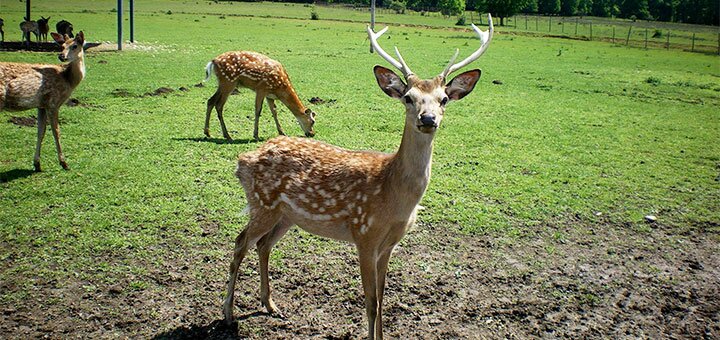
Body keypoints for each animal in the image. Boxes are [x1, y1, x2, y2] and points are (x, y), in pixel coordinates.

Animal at [0, 31, 86, 173]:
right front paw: (64, 163)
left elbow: (41, 132)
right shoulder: (53, 102)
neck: (68, 80)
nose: (61, 56)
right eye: (62, 46)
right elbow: (56, 131)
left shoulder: (41, 105)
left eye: (74, 46)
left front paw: (37, 164)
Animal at [224, 15, 496, 340]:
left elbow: (383, 298)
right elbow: (370, 302)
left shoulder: (389, 244)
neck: (393, 196)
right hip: (262, 203)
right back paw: (227, 313)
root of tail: (243, 160)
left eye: (443, 99)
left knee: (263, 245)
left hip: (286, 214)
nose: (428, 119)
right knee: (240, 242)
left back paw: (270, 305)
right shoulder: (364, 235)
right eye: (408, 97)